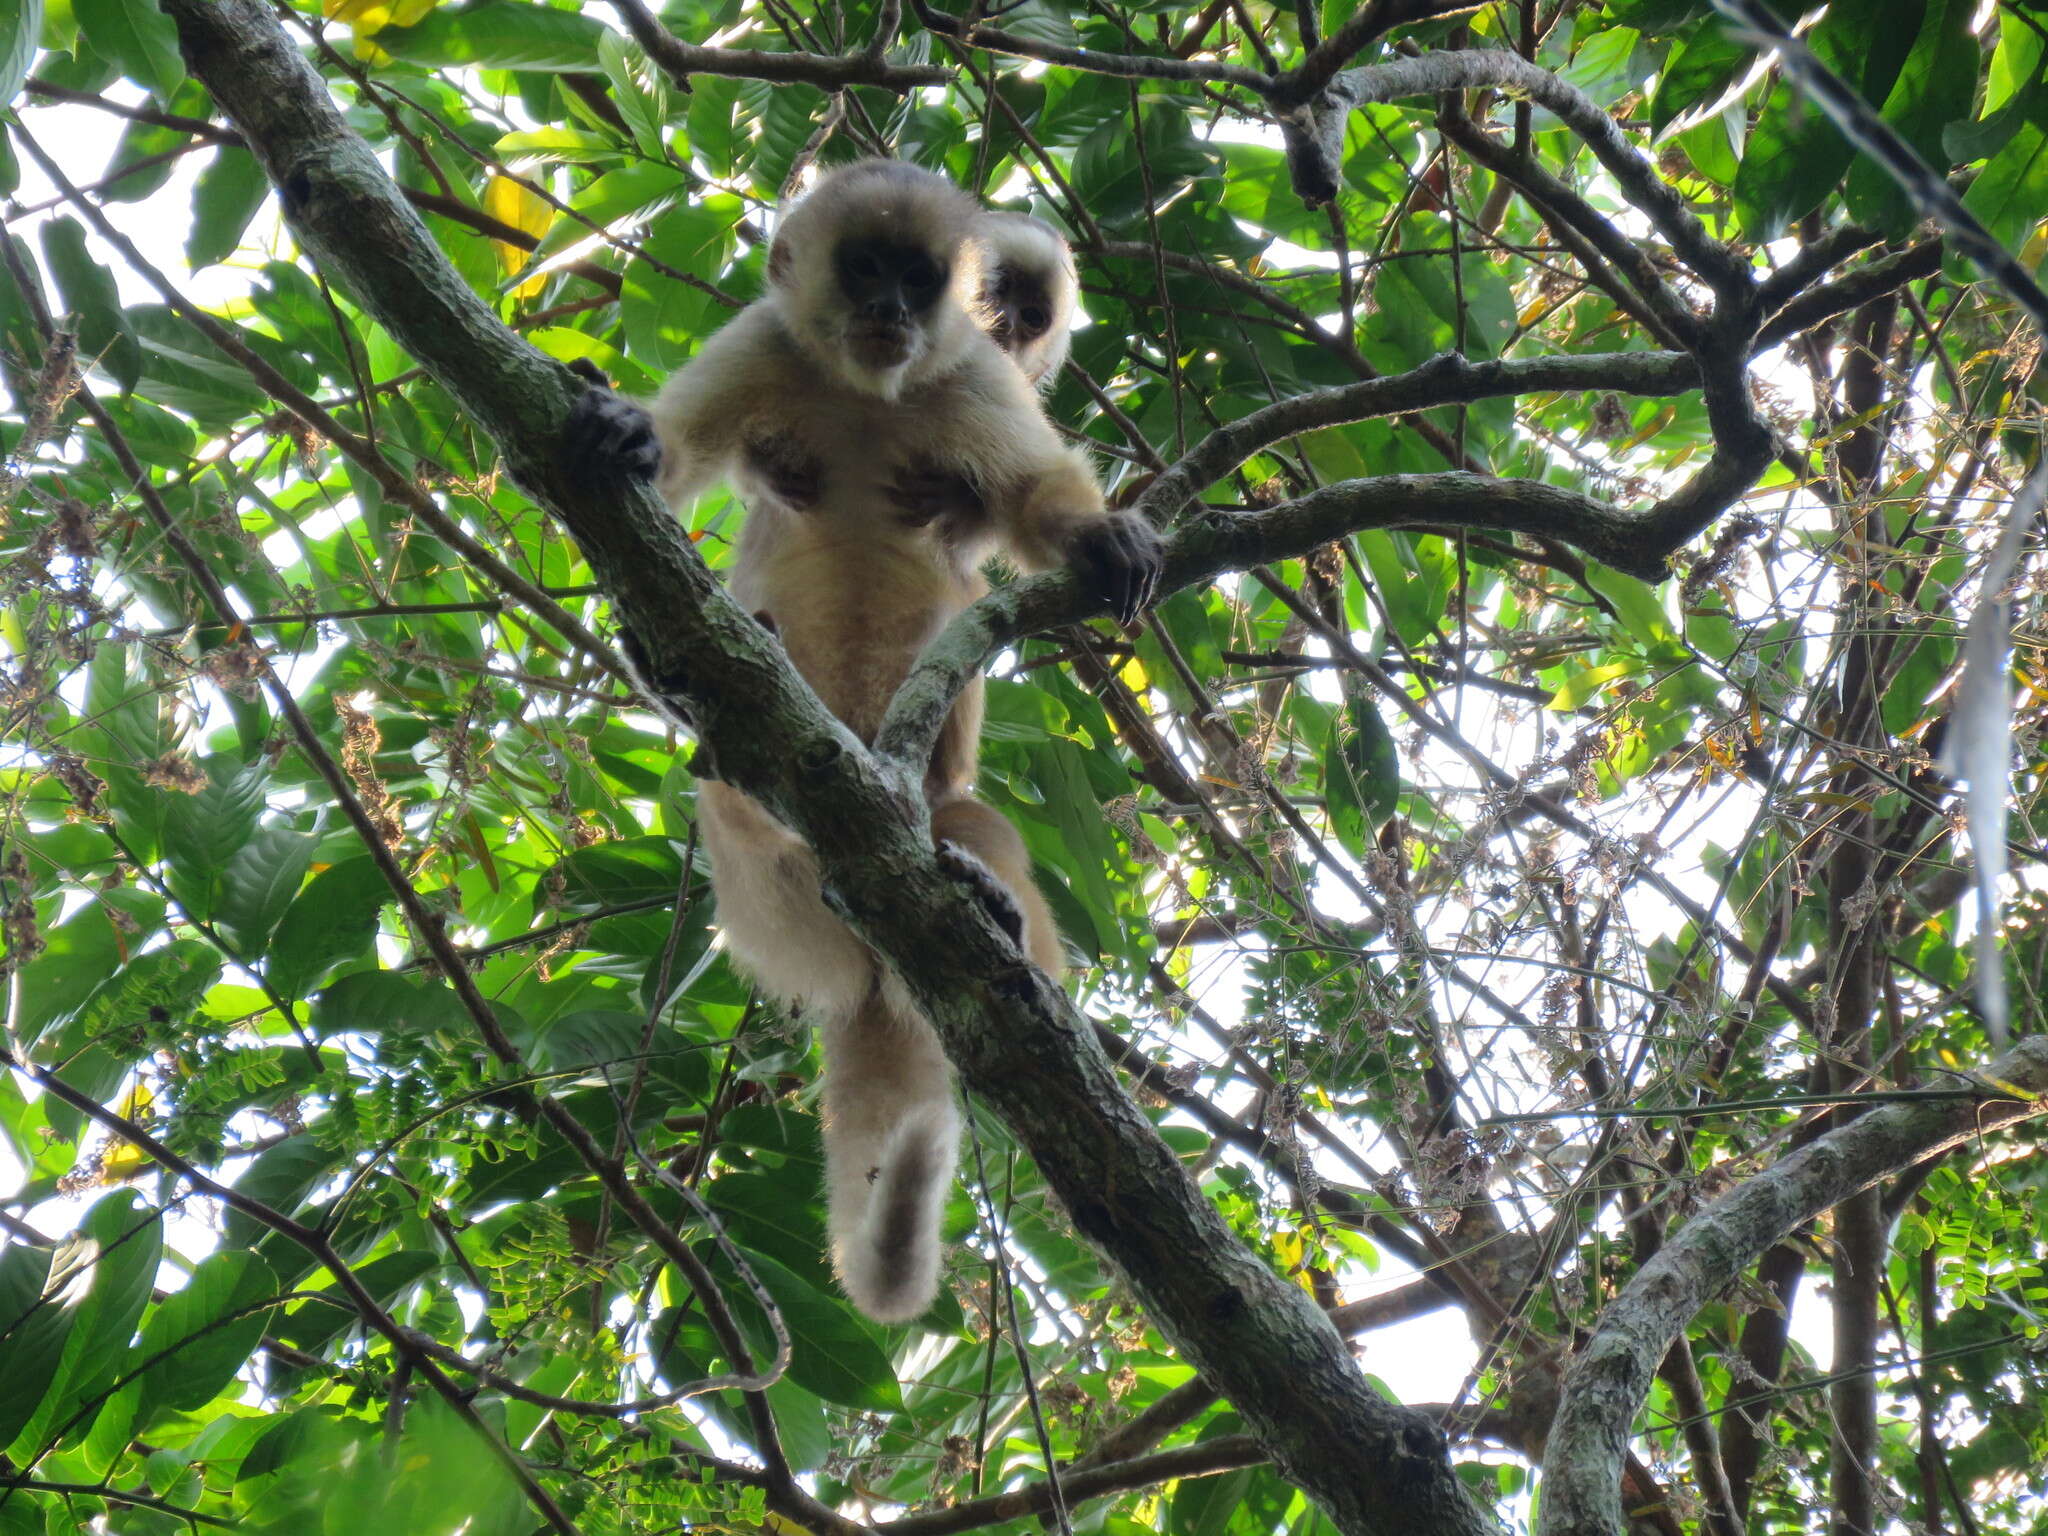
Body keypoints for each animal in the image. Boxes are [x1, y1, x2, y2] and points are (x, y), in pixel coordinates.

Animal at [565, 162, 1171, 1327]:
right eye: (865, 269)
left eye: (916, 276)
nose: (893, 309)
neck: (862, 395)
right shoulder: (768, 341)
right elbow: (668, 458)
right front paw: (632, 438)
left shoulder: (974, 374)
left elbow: (1028, 499)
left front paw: (1096, 536)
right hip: (763, 888)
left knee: (963, 816)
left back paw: (990, 915)